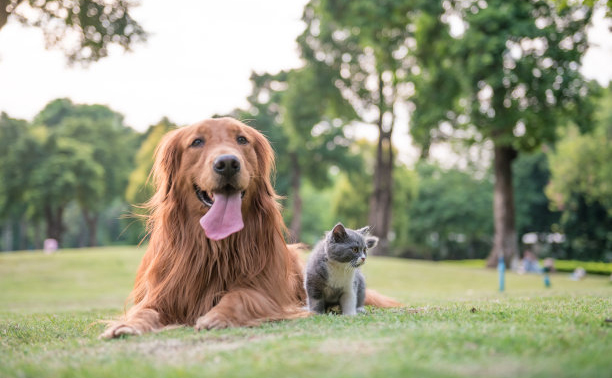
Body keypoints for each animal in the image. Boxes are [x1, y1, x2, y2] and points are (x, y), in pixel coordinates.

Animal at [100, 116, 396, 338]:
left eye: (242, 139)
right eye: (197, 141)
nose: (228, 163)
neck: (214, 246)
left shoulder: (264, 291)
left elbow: (238, 297)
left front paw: (216, 316)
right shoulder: (163, 293)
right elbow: (144, 311)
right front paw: (127, 325)